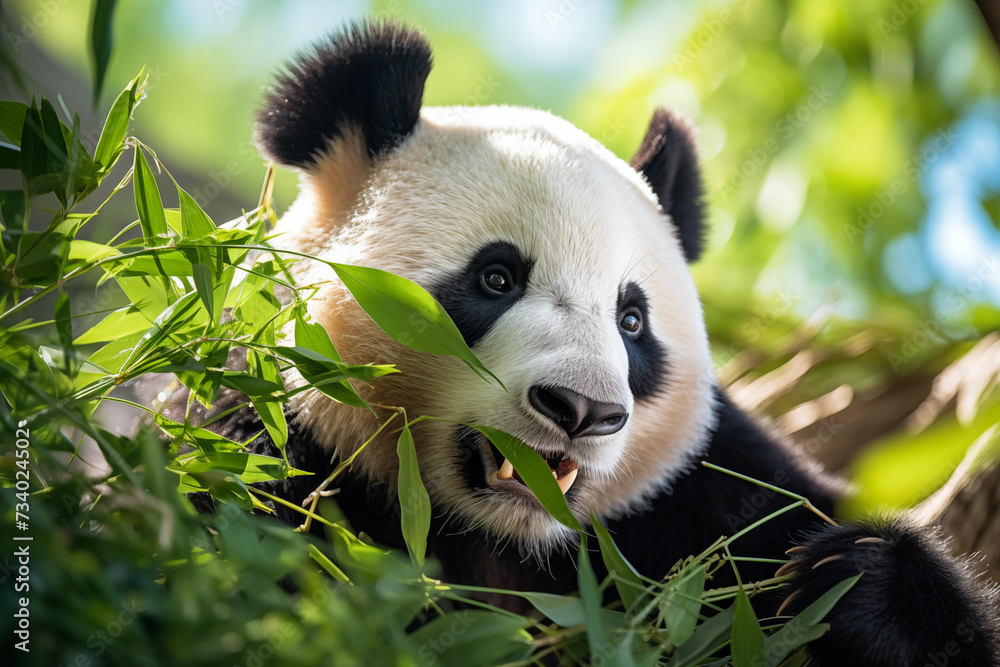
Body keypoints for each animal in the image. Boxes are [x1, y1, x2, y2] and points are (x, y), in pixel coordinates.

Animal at [199, 21, 999, 667]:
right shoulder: (267, 438)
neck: (505, 535)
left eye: (631, 320)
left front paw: (856, 583)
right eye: (495, 278)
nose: (581, 410)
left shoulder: (700, 493)